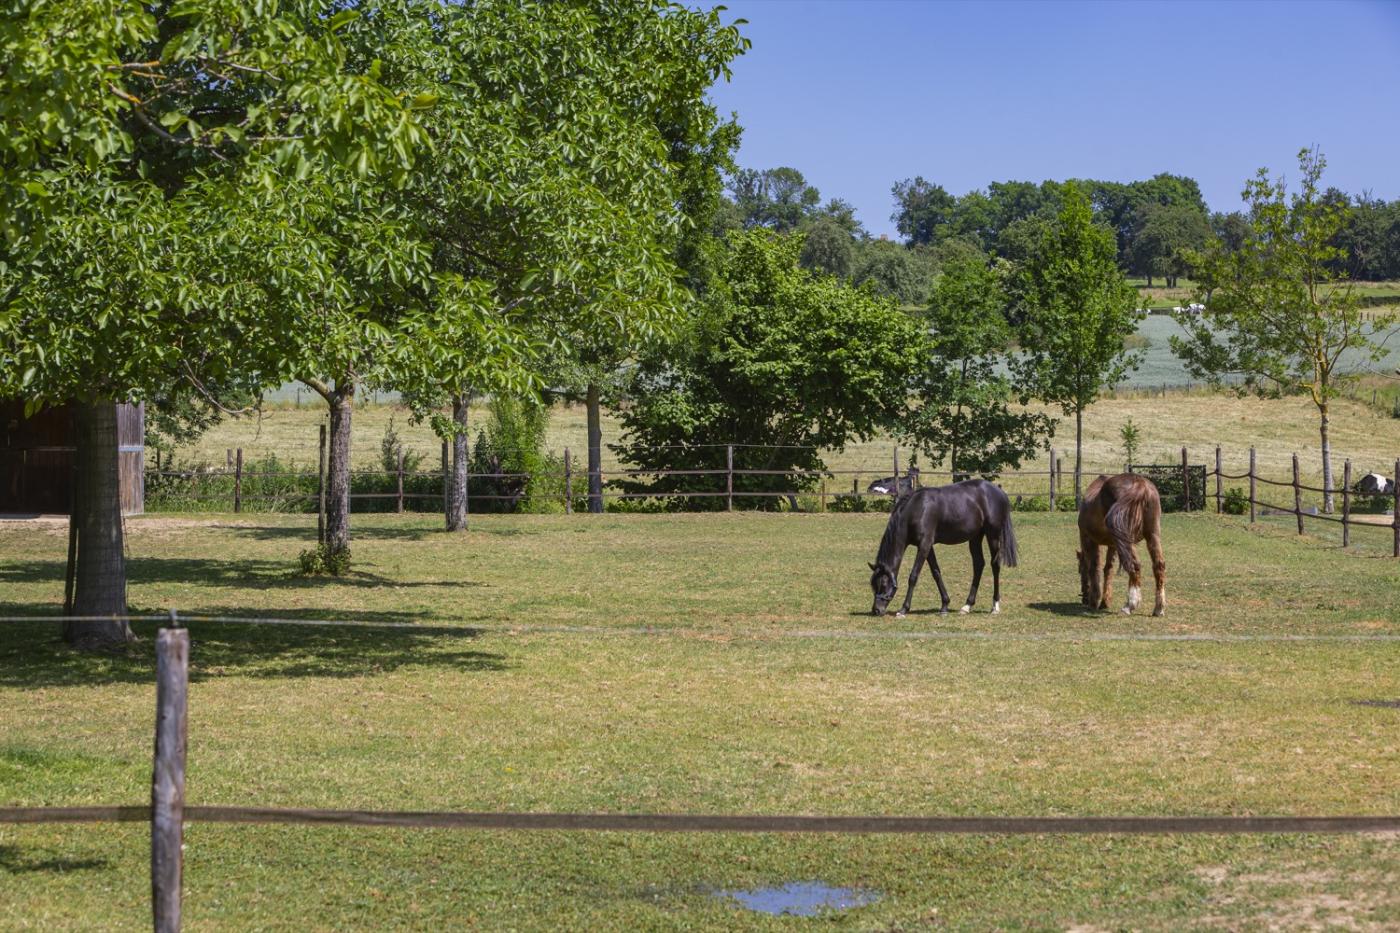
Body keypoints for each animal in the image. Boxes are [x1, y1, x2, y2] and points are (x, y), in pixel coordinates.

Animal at [862, 479, 1019, 616]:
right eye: (873, 585)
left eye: (883, 584)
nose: (876, 610)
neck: (917, 510)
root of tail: (999, 491)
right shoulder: (927, 547)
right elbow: (936, 573)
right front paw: (944, 606)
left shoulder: (924, 545)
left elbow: (913, 576)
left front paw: (903, 609)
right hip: (975, 537)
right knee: (979, 564)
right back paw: (967, 606)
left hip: (993, 535)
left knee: (995, 565)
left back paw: (995, 606)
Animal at [1075, 467, 1164, 613]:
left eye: (1079, 570)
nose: (1084, 598)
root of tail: (1139, 484)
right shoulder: (1113, 545)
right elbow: (1108, 569)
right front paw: (1104, 601)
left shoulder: (1088, 539)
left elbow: (1094, 567)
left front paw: (1094, 601)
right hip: (1152, 534)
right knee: (1159, 565)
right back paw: (1159, 608)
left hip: (1128, 539)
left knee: (1135, 565)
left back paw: (1130, 604)